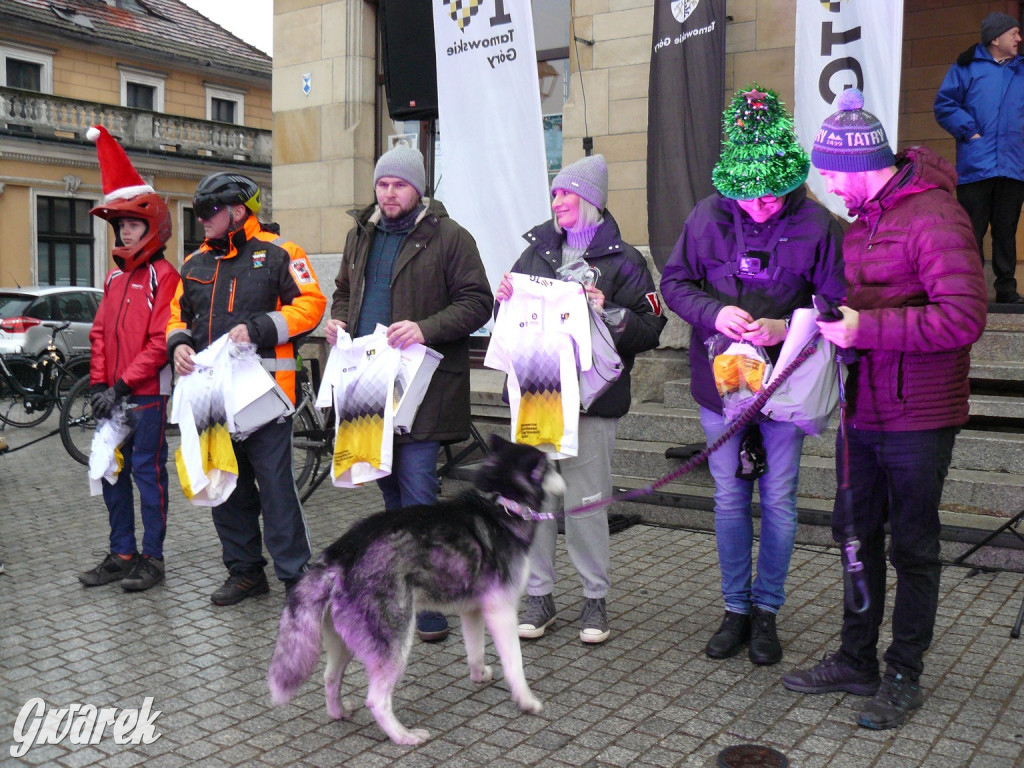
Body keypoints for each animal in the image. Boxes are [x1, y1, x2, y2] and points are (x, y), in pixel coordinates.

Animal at [268, 438, 565, 745]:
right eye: (552, 466)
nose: (564, 482)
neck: (501, 503)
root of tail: (340, 554)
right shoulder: (502, 611)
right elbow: (515, 664)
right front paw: (526, 700)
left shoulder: (472, 610)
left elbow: (475, 652)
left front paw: (479, 674)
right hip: (396, 640)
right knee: (376, 699)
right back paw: (403, 736)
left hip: (344, 641)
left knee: (329, 677)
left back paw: (339, 712)